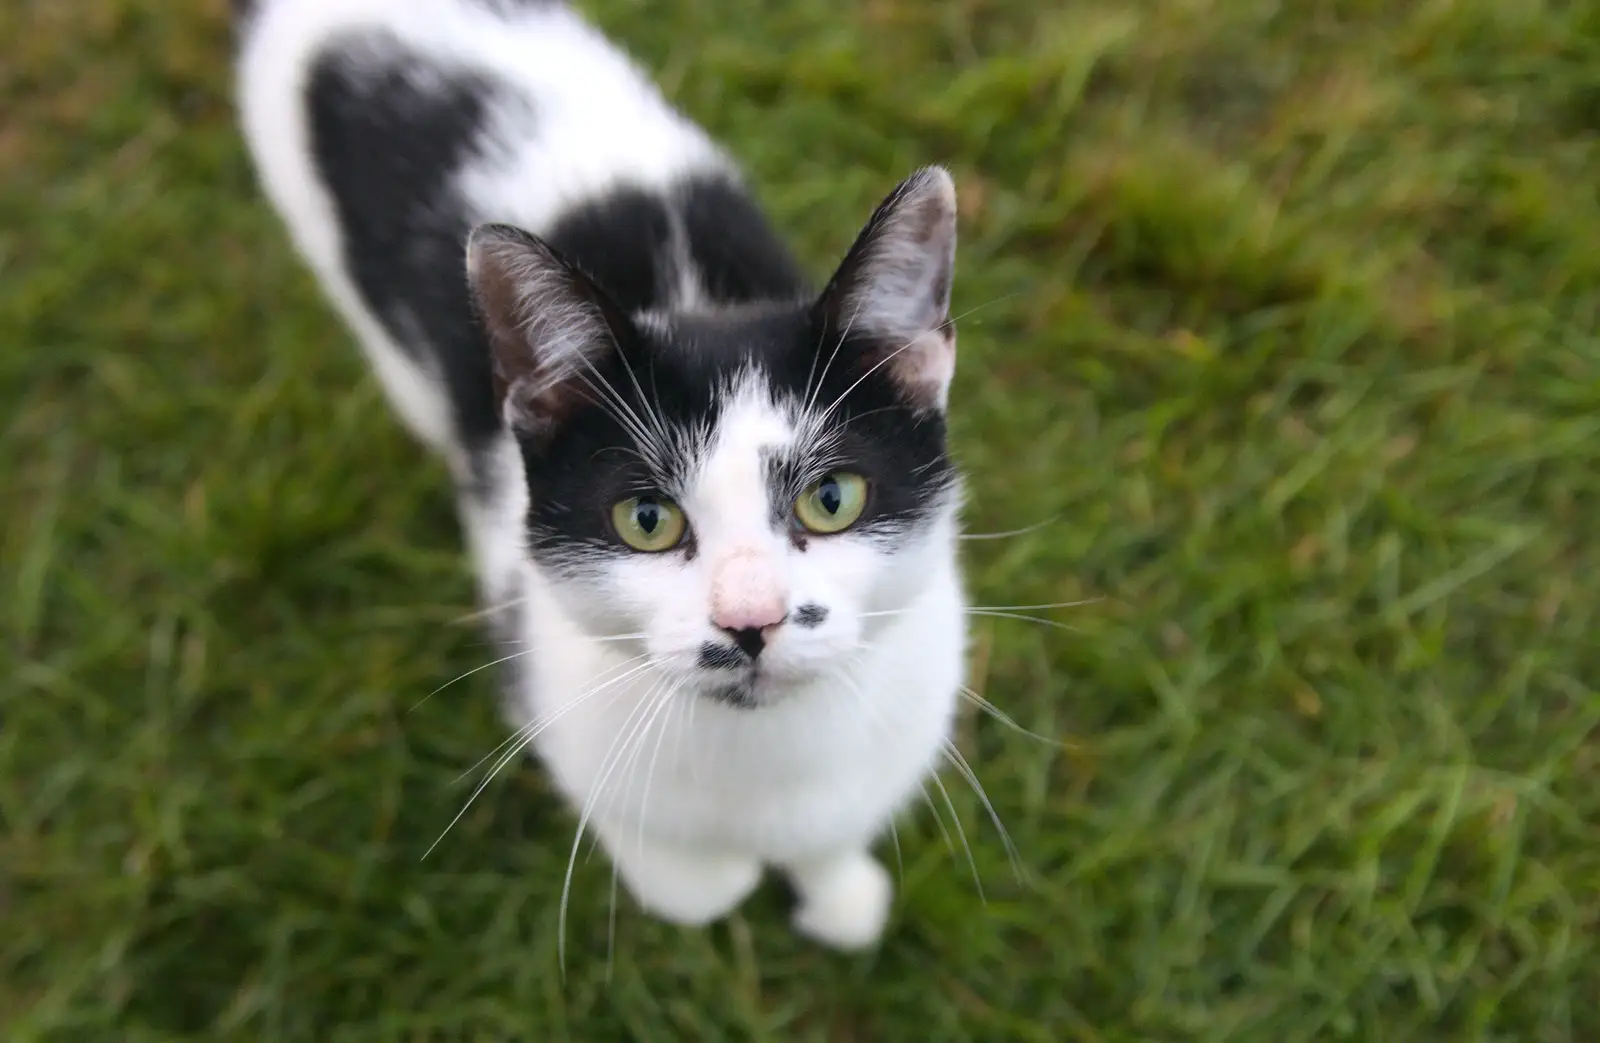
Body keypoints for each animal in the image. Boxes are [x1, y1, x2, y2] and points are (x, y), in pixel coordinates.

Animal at [232, 0, 966, 953]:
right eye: (646, 519)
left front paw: (840, 891)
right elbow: (695, 885)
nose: (751, 621)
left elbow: (836, 834)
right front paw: (718, 877)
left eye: (832, 498)